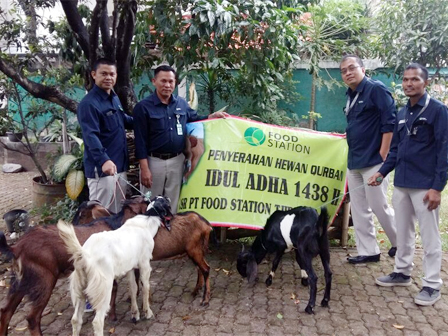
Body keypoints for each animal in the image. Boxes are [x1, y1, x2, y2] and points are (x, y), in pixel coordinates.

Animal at [0, 197, 149, 336]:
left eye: (82, 214)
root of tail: (17, 247)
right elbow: (116, 289)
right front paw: (113, 316)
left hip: (19, 281)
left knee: (6, 311)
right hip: (44, 280)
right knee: (32, 318)